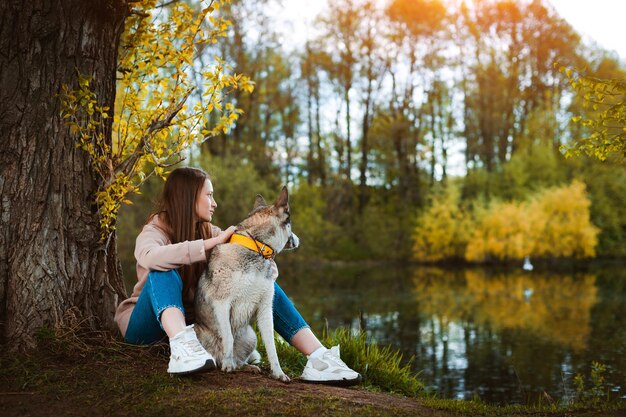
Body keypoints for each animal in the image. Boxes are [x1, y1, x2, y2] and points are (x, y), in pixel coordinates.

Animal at [194, 187, 298, 382]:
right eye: (291, 225)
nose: (298, 239)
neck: (256, 248)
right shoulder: (221, 302)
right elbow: (228, 336)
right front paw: (227, 365)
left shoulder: (265, 308)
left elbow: (271, 347)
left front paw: (278, 372)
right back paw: (224, 362)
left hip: (250, 336)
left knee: (240, 360)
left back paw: (247, 367)